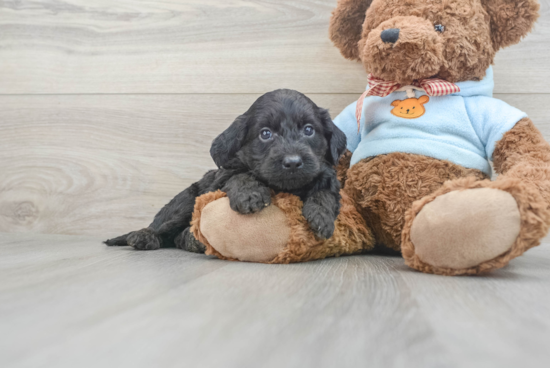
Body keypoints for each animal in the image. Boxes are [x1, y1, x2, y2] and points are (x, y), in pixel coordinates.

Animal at [105, 89, 348, 250]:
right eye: (265, 134)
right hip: (186, 201)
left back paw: (190, 240)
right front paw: (250, 195)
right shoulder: (224, 173)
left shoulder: (324, 172)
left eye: (308, 130)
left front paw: (321, 216)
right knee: (165, 228)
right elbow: (240, 175)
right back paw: (144, 237)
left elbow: (325, 189)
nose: (293, 162)